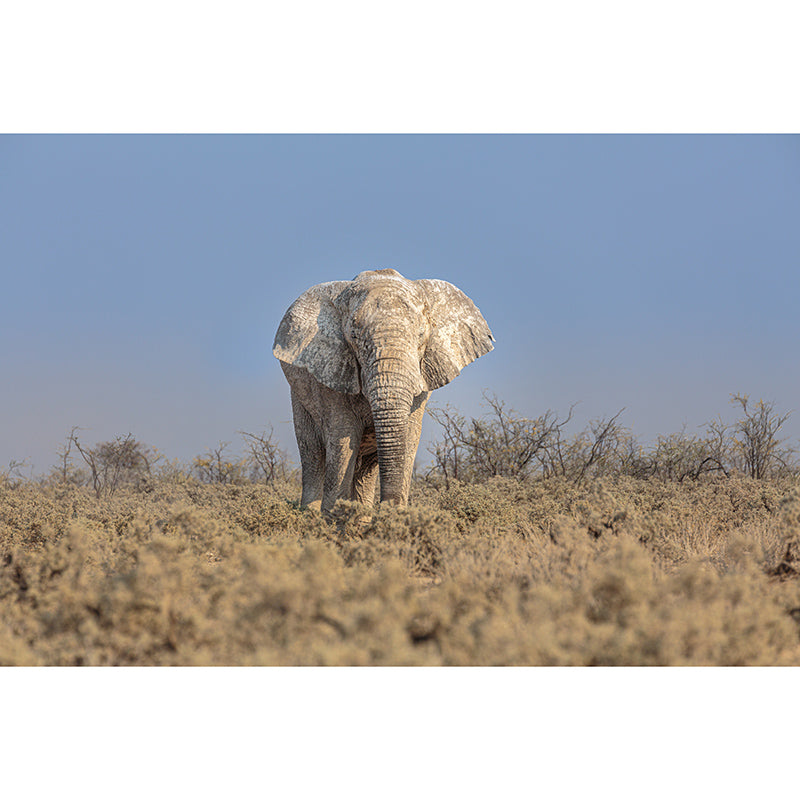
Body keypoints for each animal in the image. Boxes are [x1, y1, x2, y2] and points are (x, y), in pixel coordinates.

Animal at [273, 268, 494, 513]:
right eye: (354, 336)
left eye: (421, 335)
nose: (389, 508)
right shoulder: (331, 373)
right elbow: (342, 438)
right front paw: (333, 517)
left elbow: (409, 436)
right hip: (300, 398)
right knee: (313, 455)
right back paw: (310, 514)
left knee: (365, 468)